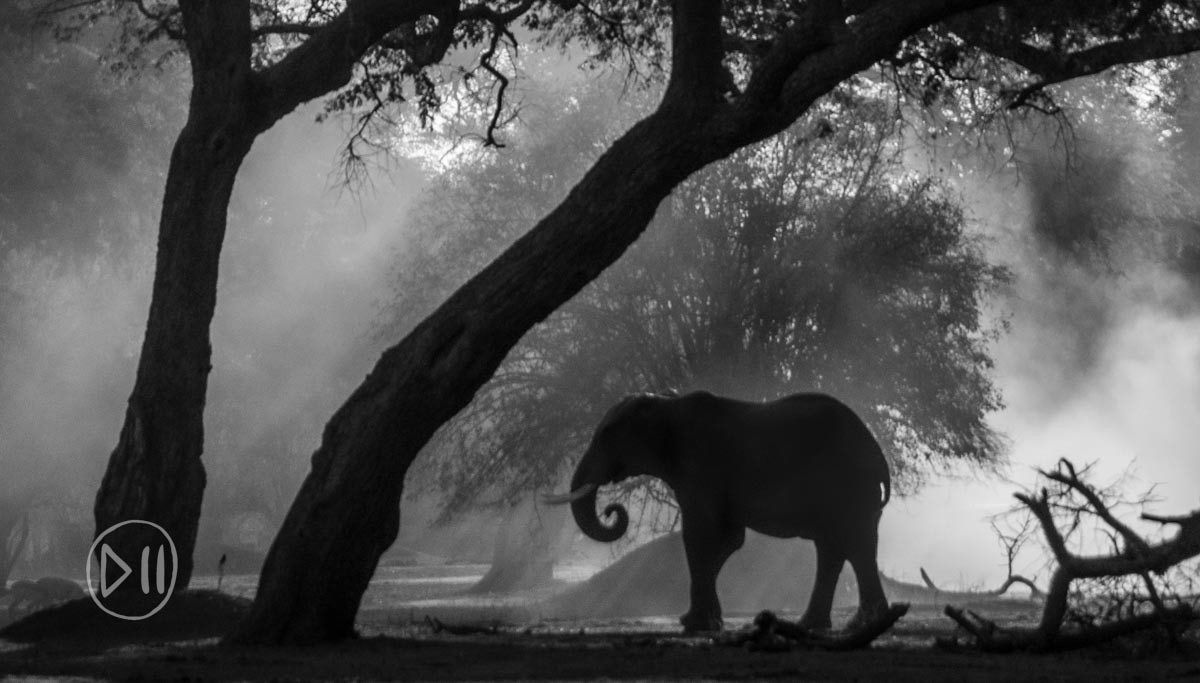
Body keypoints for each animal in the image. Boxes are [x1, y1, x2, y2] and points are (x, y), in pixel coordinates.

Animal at [543, 390, 891, 633]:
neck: (668, 404)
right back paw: (827, 624)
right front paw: (702, 621)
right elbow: (726, 540)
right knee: (837, 547)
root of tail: (877, 453)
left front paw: (695, 624)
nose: (612, 511)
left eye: (608, 433)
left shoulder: (700, 468)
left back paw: (859, 624)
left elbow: (701, 535)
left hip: (849, 484)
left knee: (853, 544)